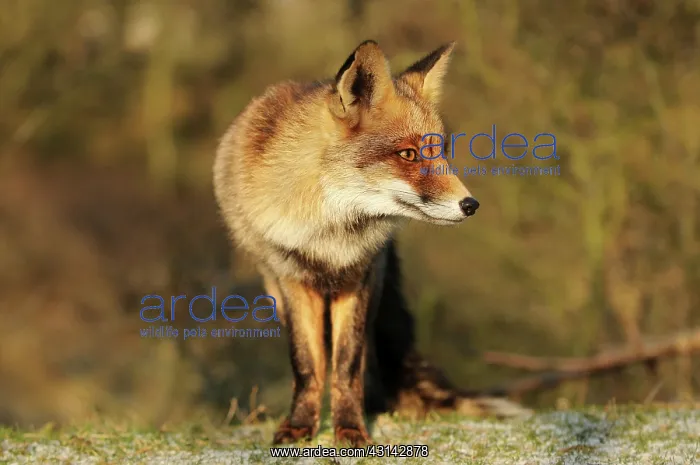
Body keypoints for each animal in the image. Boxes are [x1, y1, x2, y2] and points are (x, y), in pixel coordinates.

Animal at [213, 40, 528, 446]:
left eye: (441, 151)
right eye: (408, 153)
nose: (471, 205)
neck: (329, 234)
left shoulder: (359, 275)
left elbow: (347, 366)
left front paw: (350, 428)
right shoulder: (292, 279)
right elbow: (307, 364)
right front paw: (300, 426)